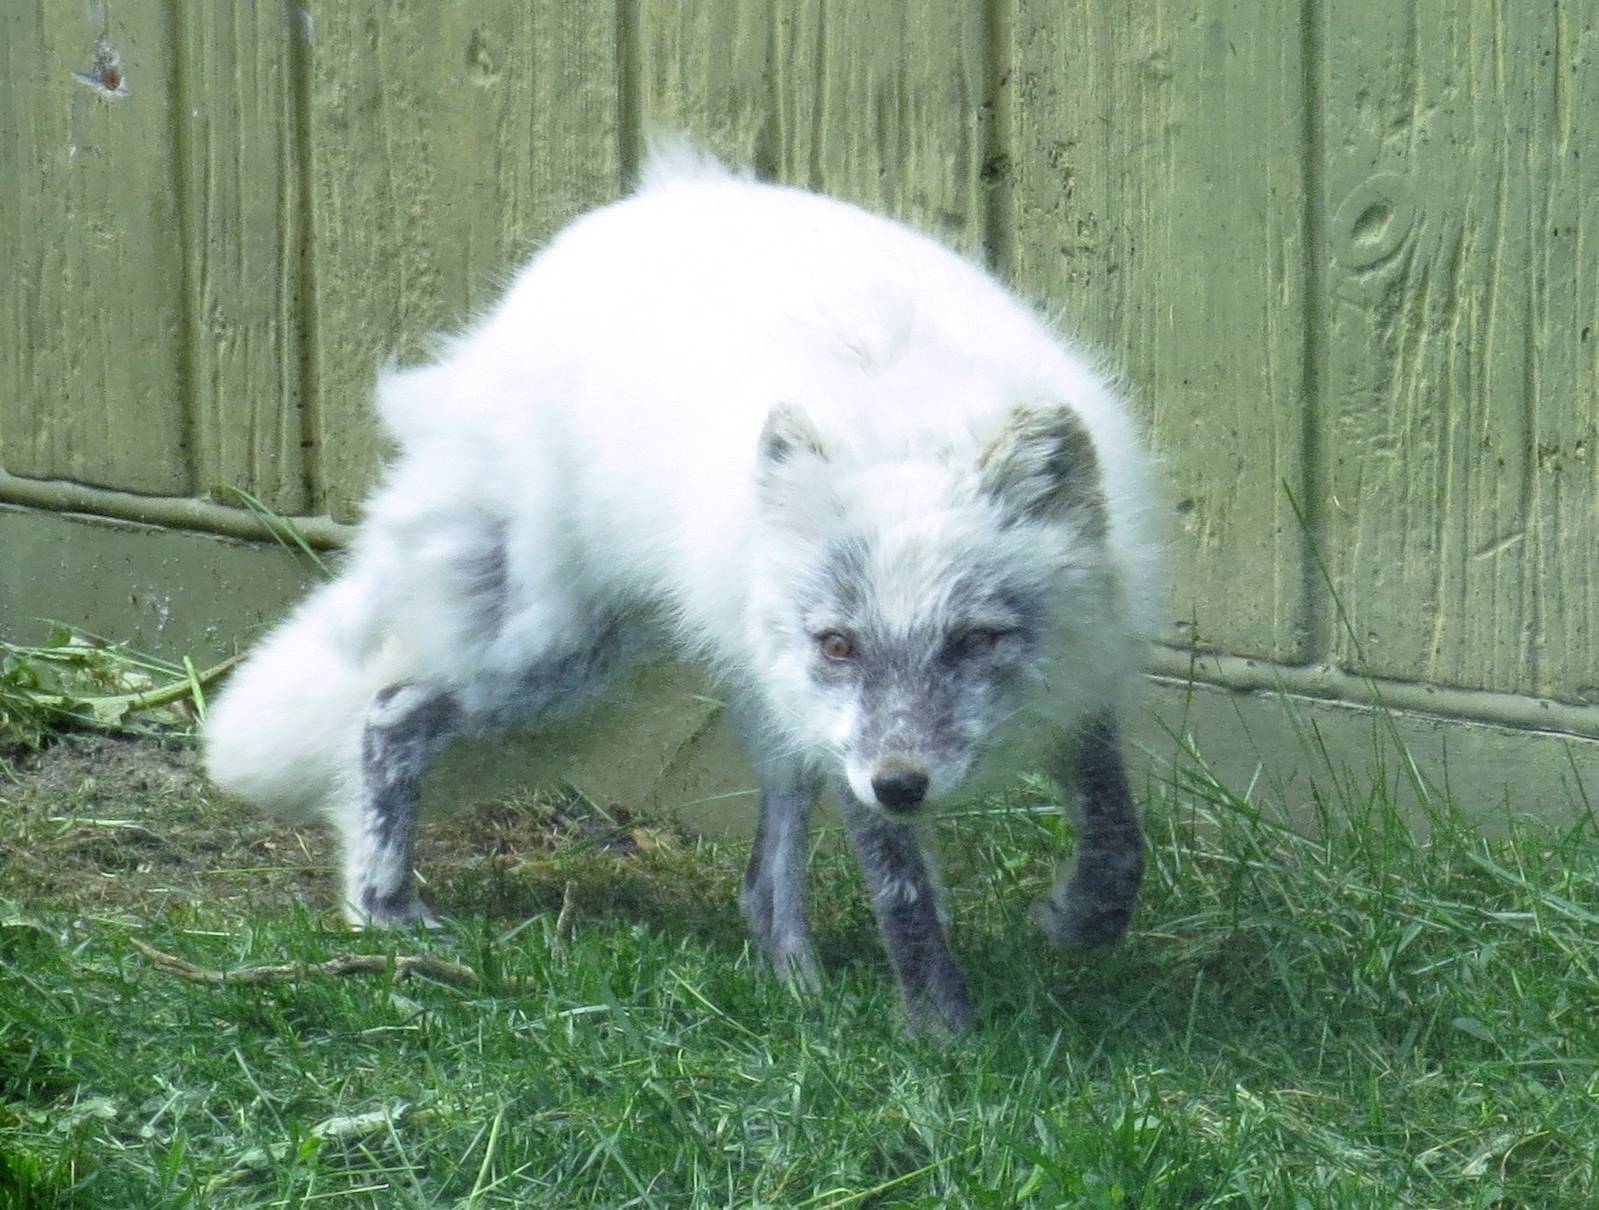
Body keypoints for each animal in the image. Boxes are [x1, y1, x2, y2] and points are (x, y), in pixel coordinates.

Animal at [202, 145, 1164, 1031]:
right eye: (839, 645)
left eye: (974, 641)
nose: (901, 788)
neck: (915, 429)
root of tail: (643, 201)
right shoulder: (843, 735)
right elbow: (903, 894)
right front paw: (944, 1040)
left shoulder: (1080, 678)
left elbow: (1118, 839)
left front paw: (1078, 923)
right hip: (562, 659)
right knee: (390, 711)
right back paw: (381, 906)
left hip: (708, 684)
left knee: (761, 883)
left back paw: (796, 989)